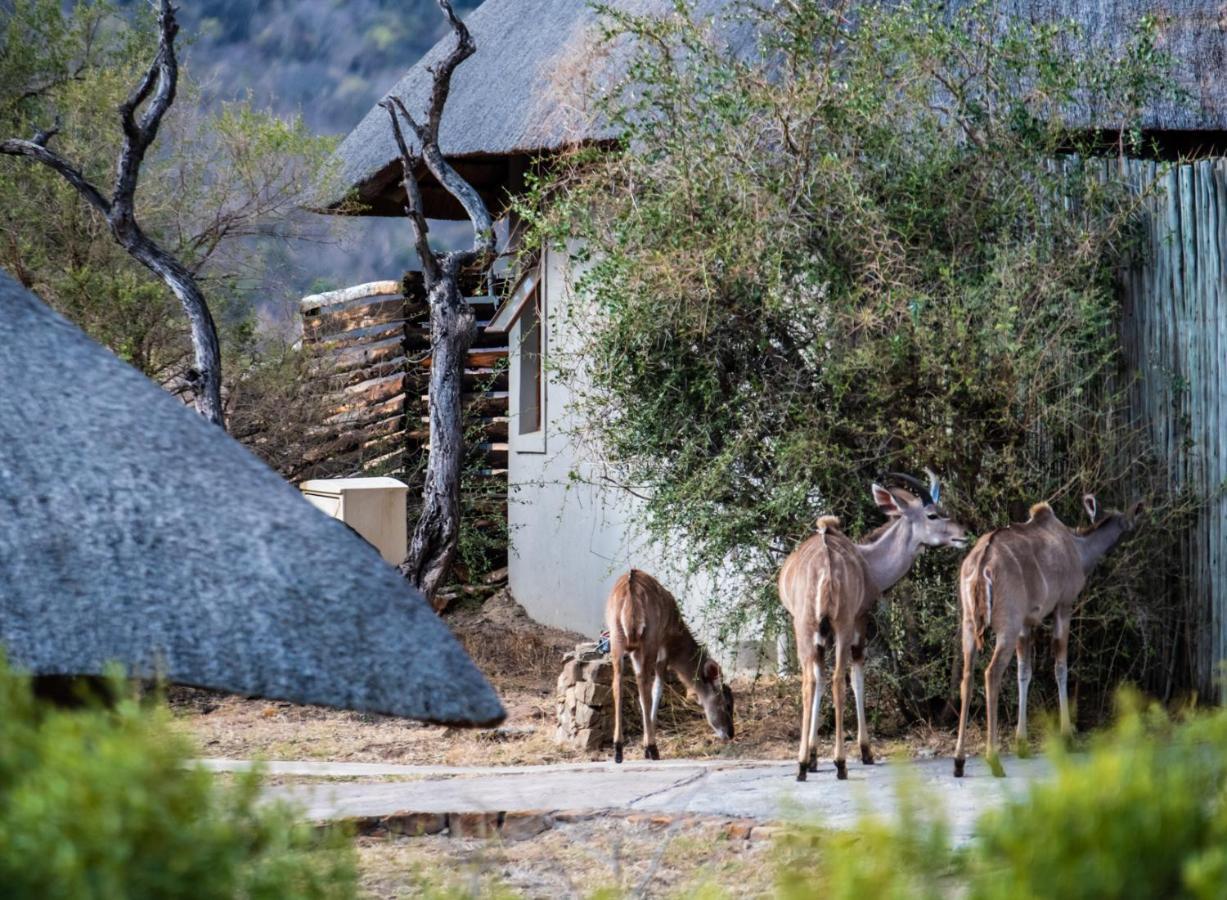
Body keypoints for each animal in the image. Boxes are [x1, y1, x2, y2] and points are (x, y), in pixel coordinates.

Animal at [606, 569, 731, 756]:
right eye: (726, 704)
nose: (731, 733)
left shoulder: (635, 652)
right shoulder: (663, 649)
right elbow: (658, 688)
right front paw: (647, 743)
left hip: (616, 638)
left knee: (618, 683)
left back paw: (618, 749)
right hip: (649, 639)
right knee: (644, 684)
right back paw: (651, 748)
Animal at [775, 471, 966, 780]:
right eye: (933, 514)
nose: (962, 534)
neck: (867, 561)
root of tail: (826, 565)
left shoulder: (821, 636)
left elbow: (819, 681)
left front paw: (814, 757)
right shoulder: (859, 624)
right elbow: (857, 679)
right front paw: (865, 752)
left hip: (805, 628)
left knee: (810, 682)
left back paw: (802, 765)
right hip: (841, 627)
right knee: (839, 679)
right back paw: (841, 762)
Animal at [952, 496, 1143, 775]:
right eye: (1129, 520)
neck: (1079, 550)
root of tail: (979, 567)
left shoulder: (1026, 623)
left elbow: (1024, 672)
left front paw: (1022, 744)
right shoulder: (1063, 605)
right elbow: (1060, 667)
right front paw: (1068, 736)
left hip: (969, 624)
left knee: (966, 677)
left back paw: (959, 760)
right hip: (1006, 627)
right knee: (991, 673)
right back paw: (993, 759)